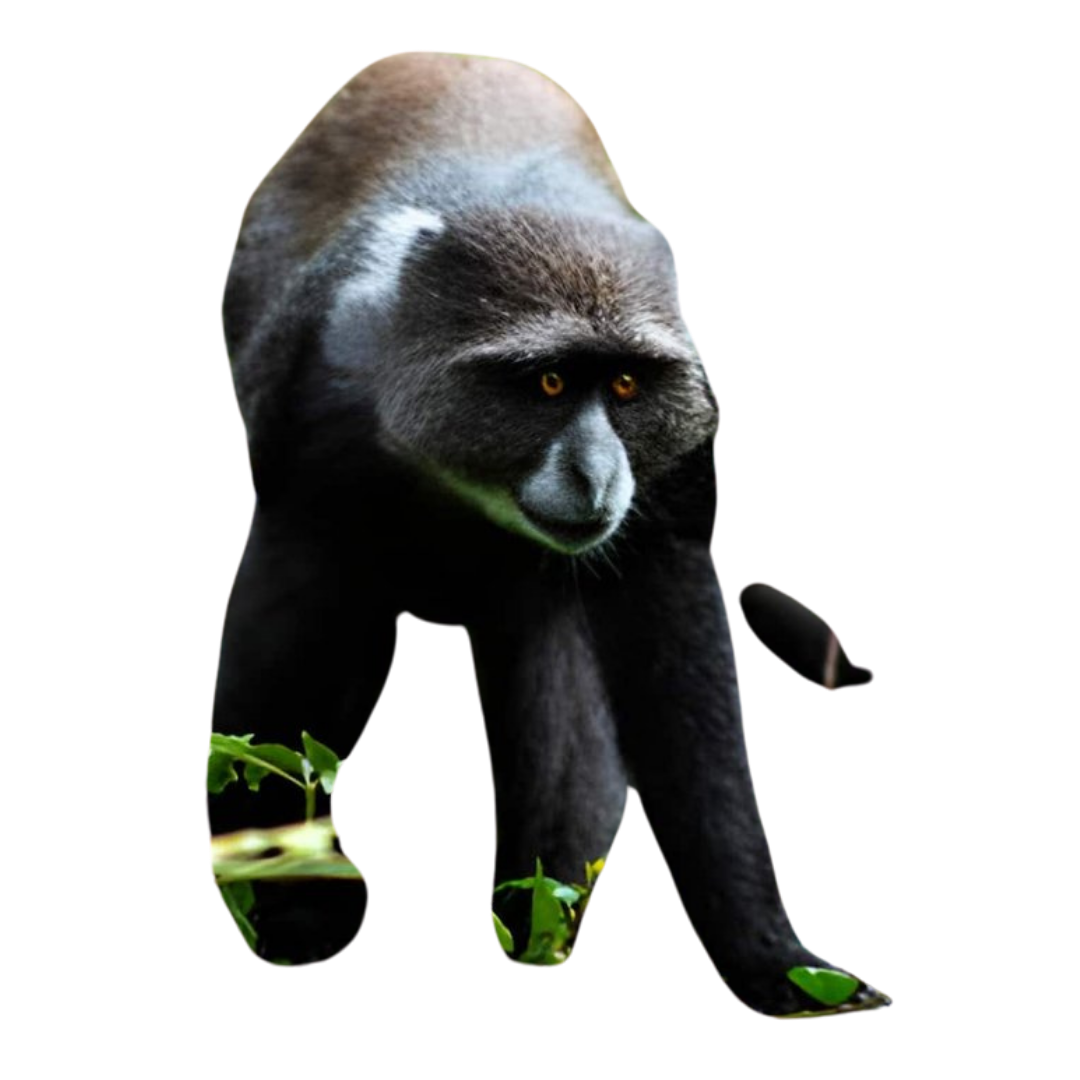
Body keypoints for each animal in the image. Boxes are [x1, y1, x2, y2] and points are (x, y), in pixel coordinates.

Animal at [212, 50, 891, 1017]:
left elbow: (687, 694)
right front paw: (289, 914)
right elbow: (276, 678)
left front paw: (781, 965)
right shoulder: (312, 436)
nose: (598, 476)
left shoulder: (678, 486)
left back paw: (533, 927)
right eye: (549, 383)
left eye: (627, 387)